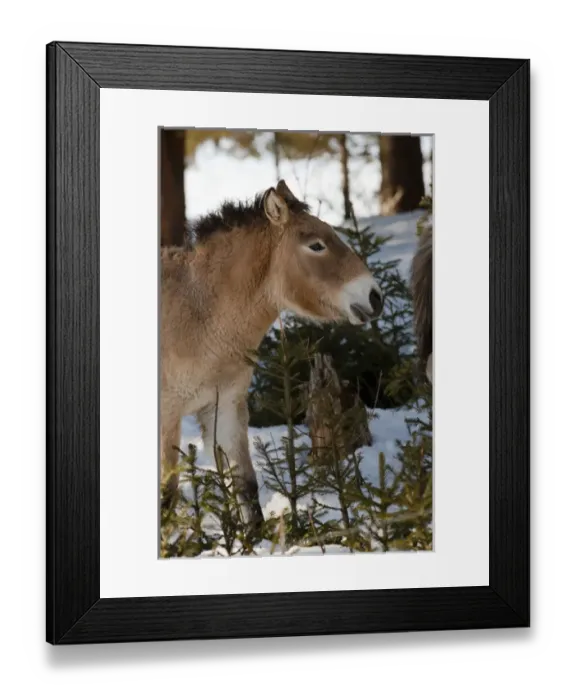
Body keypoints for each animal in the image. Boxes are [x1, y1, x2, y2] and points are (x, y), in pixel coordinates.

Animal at [160, 180, 384, 530]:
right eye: (316, 246)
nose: (375, 297)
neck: (198, 313)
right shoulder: (167, 415)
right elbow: (166, 498)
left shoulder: (224, 408)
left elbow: (246, 487)